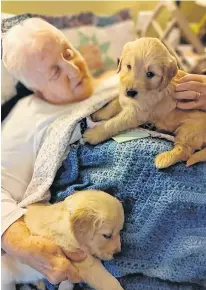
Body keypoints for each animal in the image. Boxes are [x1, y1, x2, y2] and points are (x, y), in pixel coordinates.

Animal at [83, 36, 206, 168]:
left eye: (150, 74)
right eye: (129, 66)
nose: (130, 92)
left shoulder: (135, 114)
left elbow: (112, 123)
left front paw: (94, 134)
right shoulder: (126, 99)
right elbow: (114, 104)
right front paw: (99, 114)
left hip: (190, 130)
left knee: (184, 151)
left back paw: (164, 159)